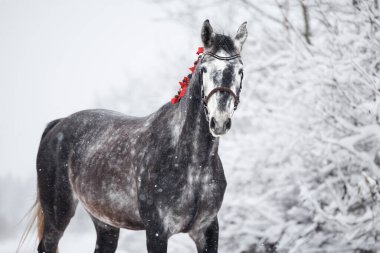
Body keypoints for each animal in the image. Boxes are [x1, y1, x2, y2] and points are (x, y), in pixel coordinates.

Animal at [30, 20, 249, 253]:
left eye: (240, 71)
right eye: (204, 69)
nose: (220, 120)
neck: (190, 164)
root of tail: (58, 124)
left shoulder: (207, 230)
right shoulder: (157, 231)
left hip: (105, 223)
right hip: (58, 215)